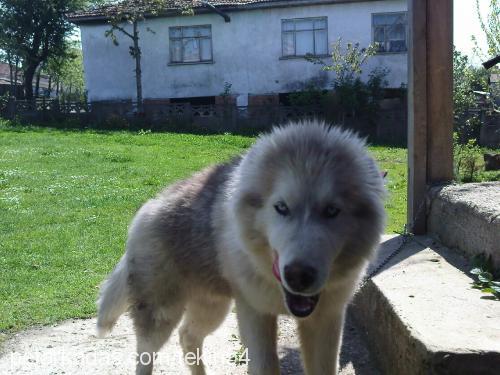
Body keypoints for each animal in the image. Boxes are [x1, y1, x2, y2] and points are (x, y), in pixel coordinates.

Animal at [97, 122, 386, 374]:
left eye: (332, 211)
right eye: (281, 207)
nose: (299, 275)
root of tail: (148, 207)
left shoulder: (326, 320)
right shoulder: (254, 314)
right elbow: (265, 367)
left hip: (213, 308)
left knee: (187, 336)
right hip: (162, 315)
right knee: (145, 355)